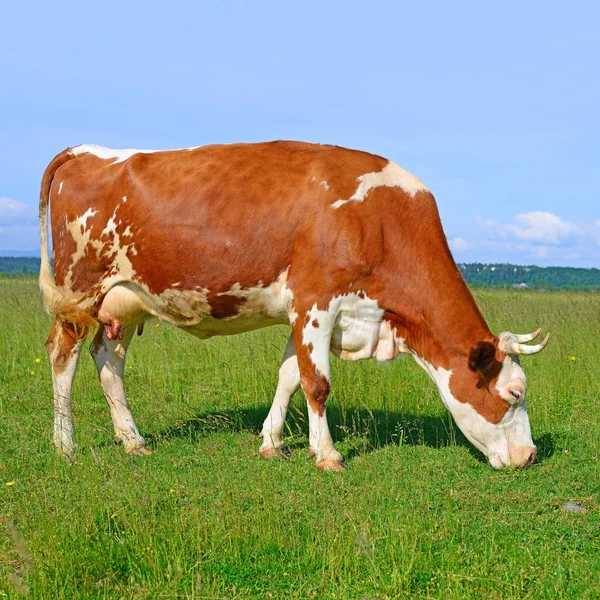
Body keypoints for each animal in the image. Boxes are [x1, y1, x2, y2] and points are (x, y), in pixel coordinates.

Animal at [38, 141, 548, 468]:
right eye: (513, 393)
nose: (530, 457)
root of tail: (88, 149)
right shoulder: (316, 302)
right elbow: (317, 384)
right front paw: (327, 455)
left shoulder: (304, 314)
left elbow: (289, 377)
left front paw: (272, 443)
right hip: (78, 290)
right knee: (63, 356)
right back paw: (65, 446)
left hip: (122, 302)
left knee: (109, 362)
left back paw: (133, 441)